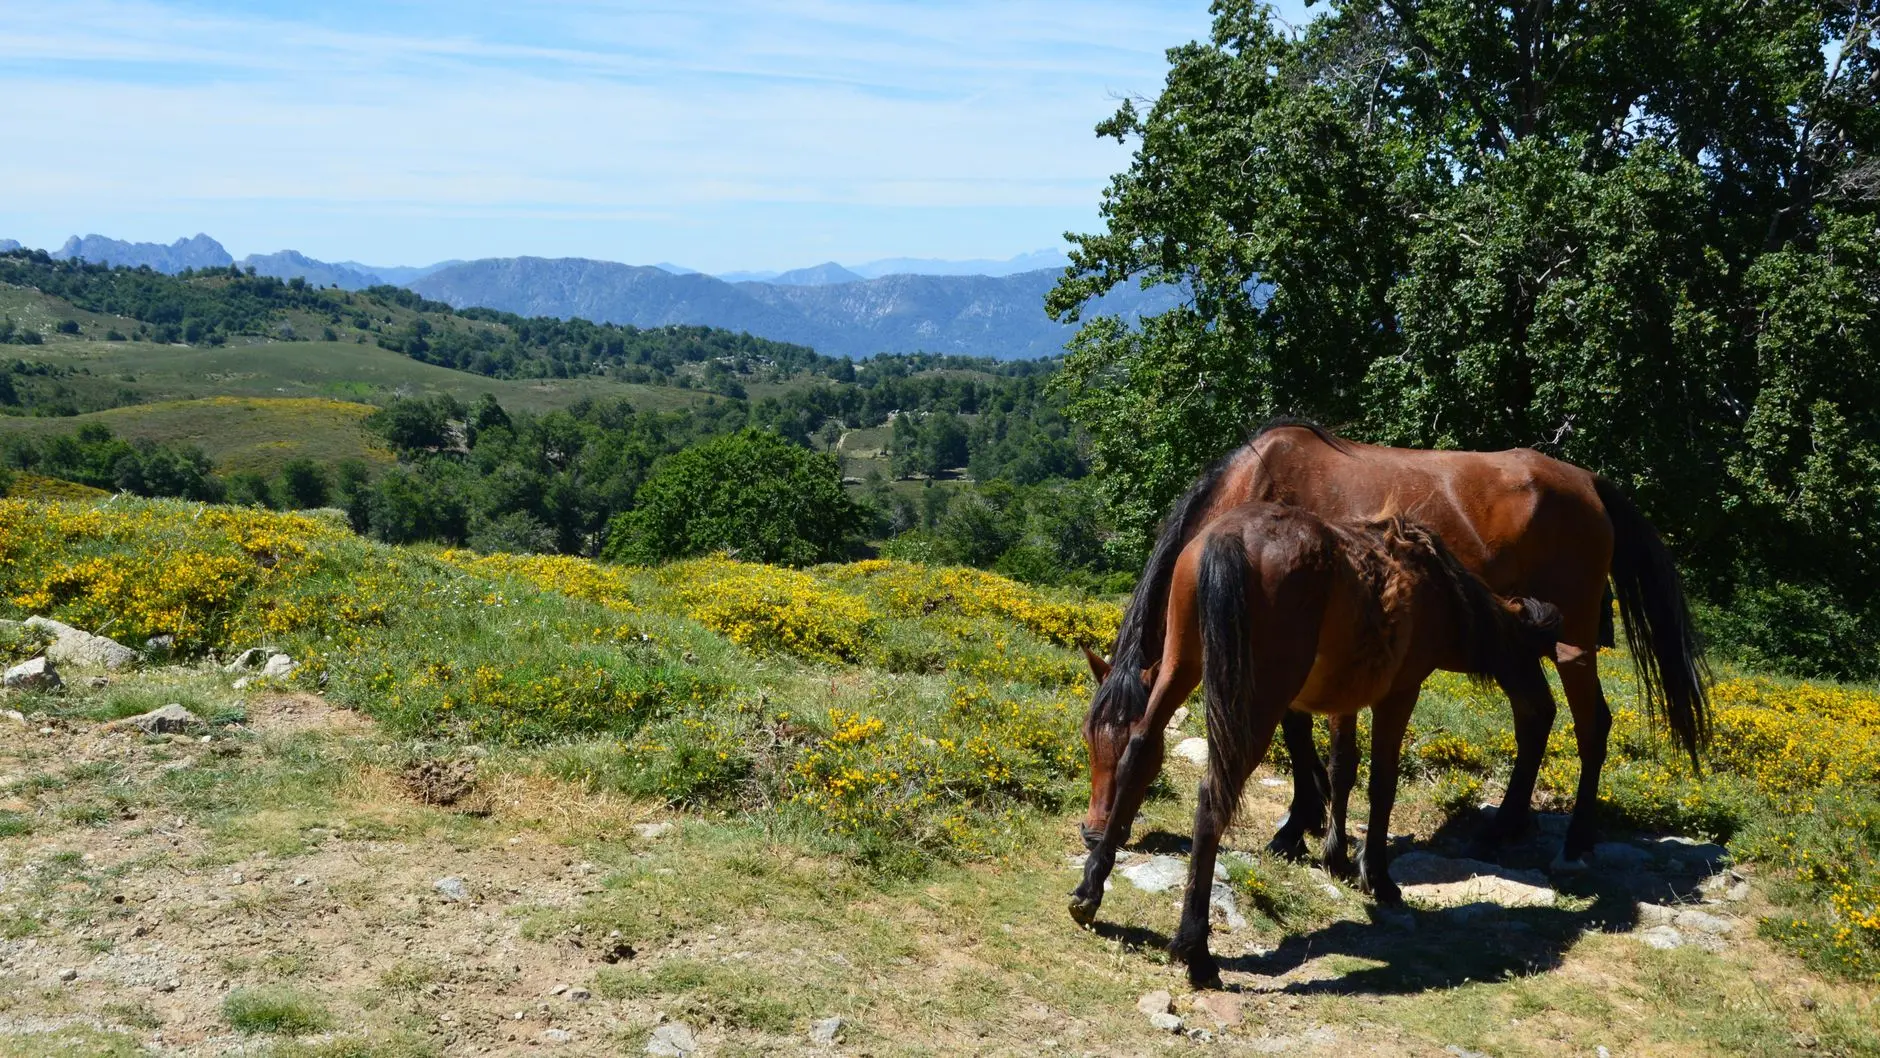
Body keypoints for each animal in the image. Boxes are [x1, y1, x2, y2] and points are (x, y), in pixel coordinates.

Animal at [1069, 501, 1564, 989]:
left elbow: (1342, 769)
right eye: (1533, 652)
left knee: (1141, 749)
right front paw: (1375, 876)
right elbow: (1381, 783)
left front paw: (1336, 854)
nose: (1543, 706)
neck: (1437, 586)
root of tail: (1227, 537)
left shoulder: (1344, 699)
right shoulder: (1399, 694)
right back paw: (1195, 950)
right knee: (1214, 795)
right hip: (1254, 701)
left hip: (1180, 665)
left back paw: (1089, 892)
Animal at [1080, 422, 1709, 872]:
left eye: (1137, 749)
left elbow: (1302, 734)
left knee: (1591, 727)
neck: (1259, 486)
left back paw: (1574, 844)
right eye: (1090, 741)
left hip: (1571, 645)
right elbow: (1304, 733)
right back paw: (1501, 829)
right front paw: (1311, 821)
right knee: (1536, 715)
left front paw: (1303, 827)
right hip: (1513, 645)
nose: (1093, 831)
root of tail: (1589, 482)